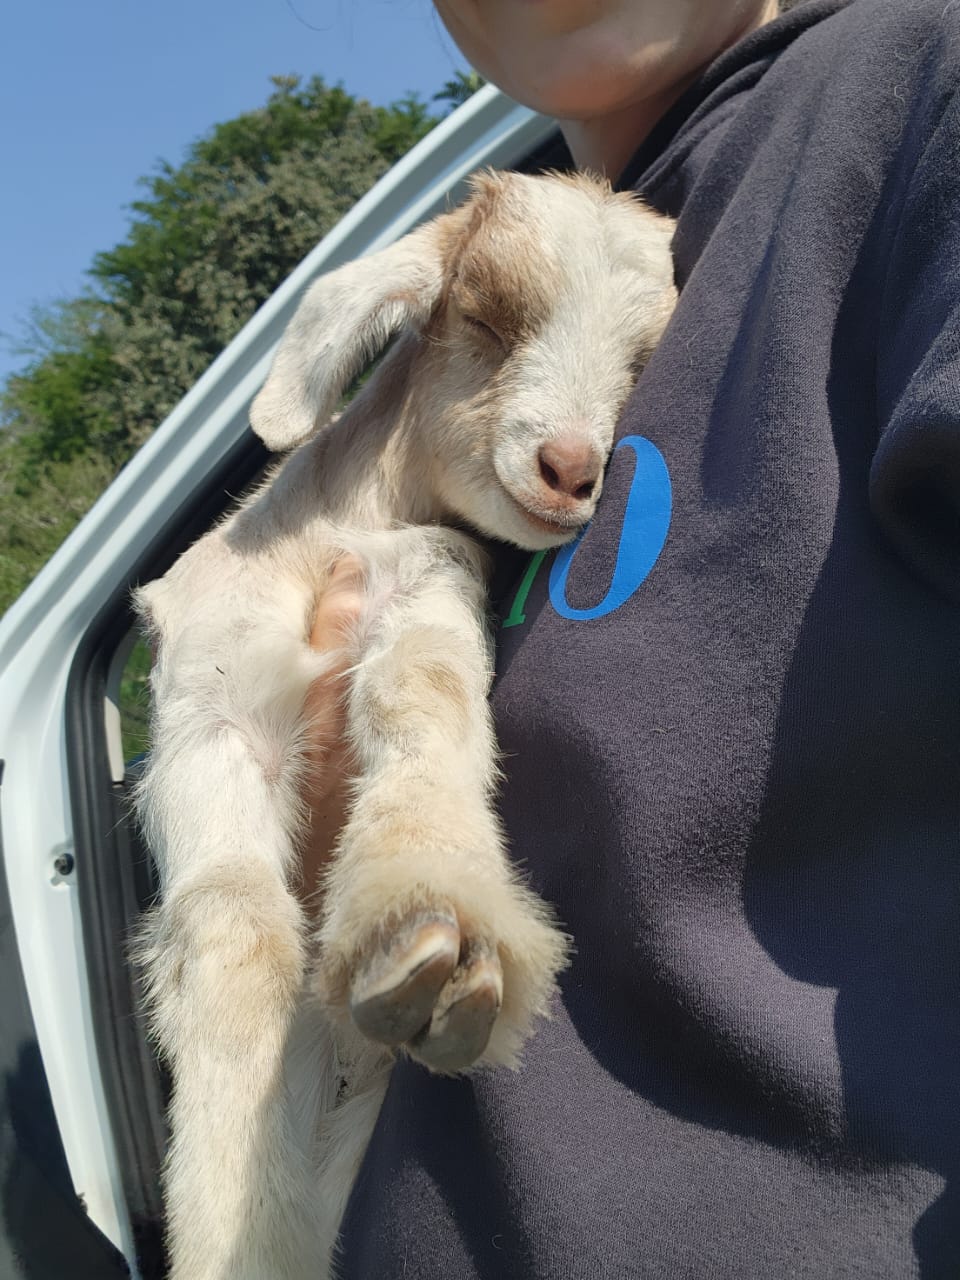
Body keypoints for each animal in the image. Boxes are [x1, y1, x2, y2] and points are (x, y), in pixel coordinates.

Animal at [135, 169, 677, 1280]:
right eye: (485, 315)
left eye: (640, 361)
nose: (572, 469)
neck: (332, 542)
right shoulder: (205, 707)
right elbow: (234, 922)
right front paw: (244, 1232)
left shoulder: (430, 575)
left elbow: (420, 691)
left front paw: (433, 916)